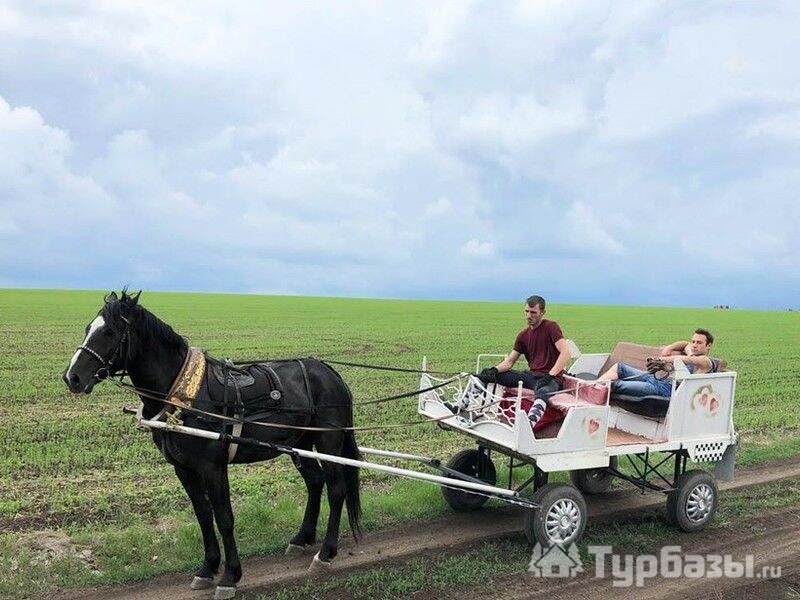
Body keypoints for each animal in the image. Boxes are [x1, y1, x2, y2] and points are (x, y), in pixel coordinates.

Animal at [62, 290, 362, 600]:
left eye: (109, 332)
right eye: (88, 328)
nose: (72, 377)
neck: (183, 396)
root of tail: (330, 372)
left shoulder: (213, 467)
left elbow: (224, 516)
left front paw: (230, 576)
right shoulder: (183, 468)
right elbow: (204, 515)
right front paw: (207, 568)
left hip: (329, 442)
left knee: (336, 489)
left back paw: (326, 552)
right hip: (299, 443)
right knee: (315, 482)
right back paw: (303, 538)